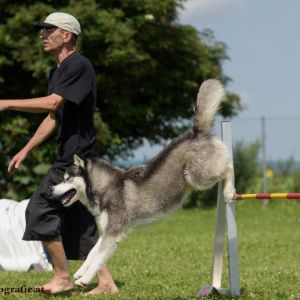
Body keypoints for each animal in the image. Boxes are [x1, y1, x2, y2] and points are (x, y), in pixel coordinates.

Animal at [50, 79, 236, 286]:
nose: (51, 189)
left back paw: (229, 191)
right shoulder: (108, 229)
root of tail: (196, 132)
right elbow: (92, 252)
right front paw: (81, 272)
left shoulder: (114, 233)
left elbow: (98, 257)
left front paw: (85, 279)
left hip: (198, 177)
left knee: (229, 166)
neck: (105, 187)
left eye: (67, 179)